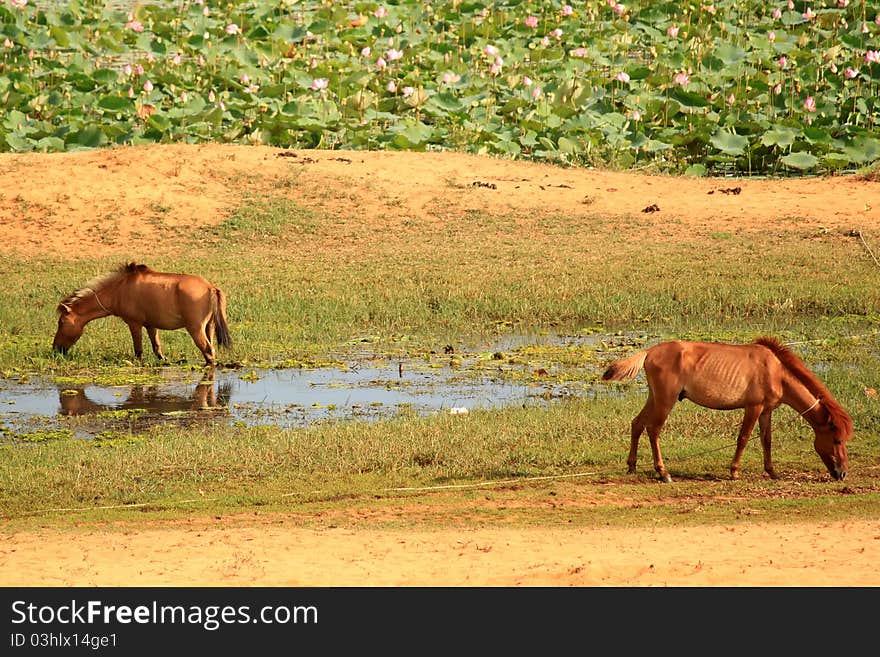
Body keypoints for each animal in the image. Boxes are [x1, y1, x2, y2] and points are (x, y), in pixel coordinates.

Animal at [51, 262, 230, 364]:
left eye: (61, 322)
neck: (118, 289)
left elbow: (138, 350)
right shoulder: (151, 325)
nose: (55, 349)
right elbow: (157, 348)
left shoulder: (134, 324)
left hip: (195, 329)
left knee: (208, 352)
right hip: (209, 327)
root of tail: (210, 287)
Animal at [600, 338, 848, 482]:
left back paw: (632, 466)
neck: (775, 371)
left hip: (654, 397)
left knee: (637, 423)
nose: (842, 473)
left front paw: (772, 472)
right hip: (665, 400)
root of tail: (650, 351)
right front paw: (734, 471)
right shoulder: (753, 408)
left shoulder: (766, 411)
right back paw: (663, 473)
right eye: (837, 439)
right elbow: (744, 438)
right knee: (653, 429)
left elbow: (766, 440)